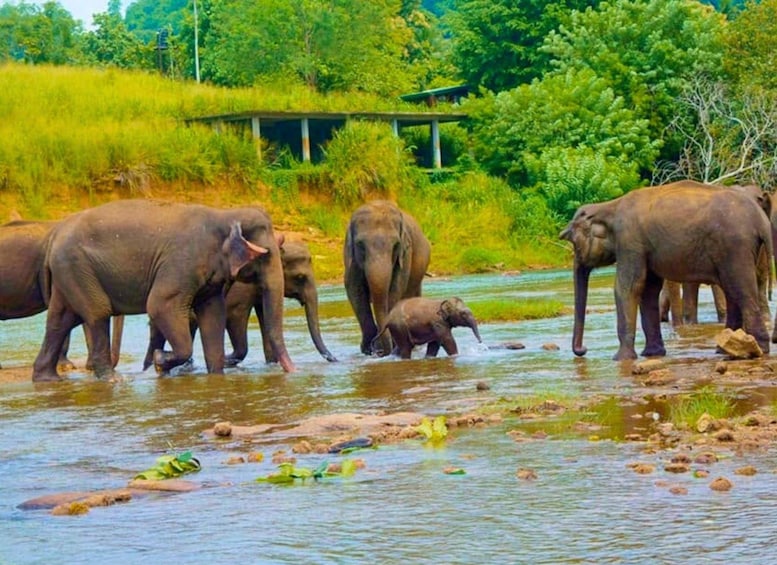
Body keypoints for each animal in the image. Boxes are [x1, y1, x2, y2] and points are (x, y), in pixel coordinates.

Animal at [31, 200, 294, 381]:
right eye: (266, 255)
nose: (293, 371)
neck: (224, 214)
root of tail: (53, 237)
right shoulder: (181, 262)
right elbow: (159, 306)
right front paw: (159, 361)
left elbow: (213, 314)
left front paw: (216, 376)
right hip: (77, 268)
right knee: (97, 313)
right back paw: (113, 379)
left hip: (69, 273)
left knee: (60, 320)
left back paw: (47, 379)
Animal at [140, 240, 336, 369]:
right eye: (300, 277)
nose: (333, 359)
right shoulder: (242, 292)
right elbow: (236, 318)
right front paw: (228, 360)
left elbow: (266, 322)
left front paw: (270, 365)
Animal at [344, 200, 431, 355]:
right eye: (360, 245)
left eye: (396, 245)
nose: (380, 351)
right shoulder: (350, 258)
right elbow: (354, 290)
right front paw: (369, 350)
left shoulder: (405, 253)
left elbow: (395, 290)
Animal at [560, 180, 772, 360]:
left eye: (575, 245)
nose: (583, 350)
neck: (607, 206)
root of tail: (761, 221)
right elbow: (648, 291)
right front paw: (652, 354)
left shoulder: (629, 240)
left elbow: (627, 288)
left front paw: (620, 359)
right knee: (733, 292)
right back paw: (724, 349)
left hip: (735, 247)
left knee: (741, 290)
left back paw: (758, 350)